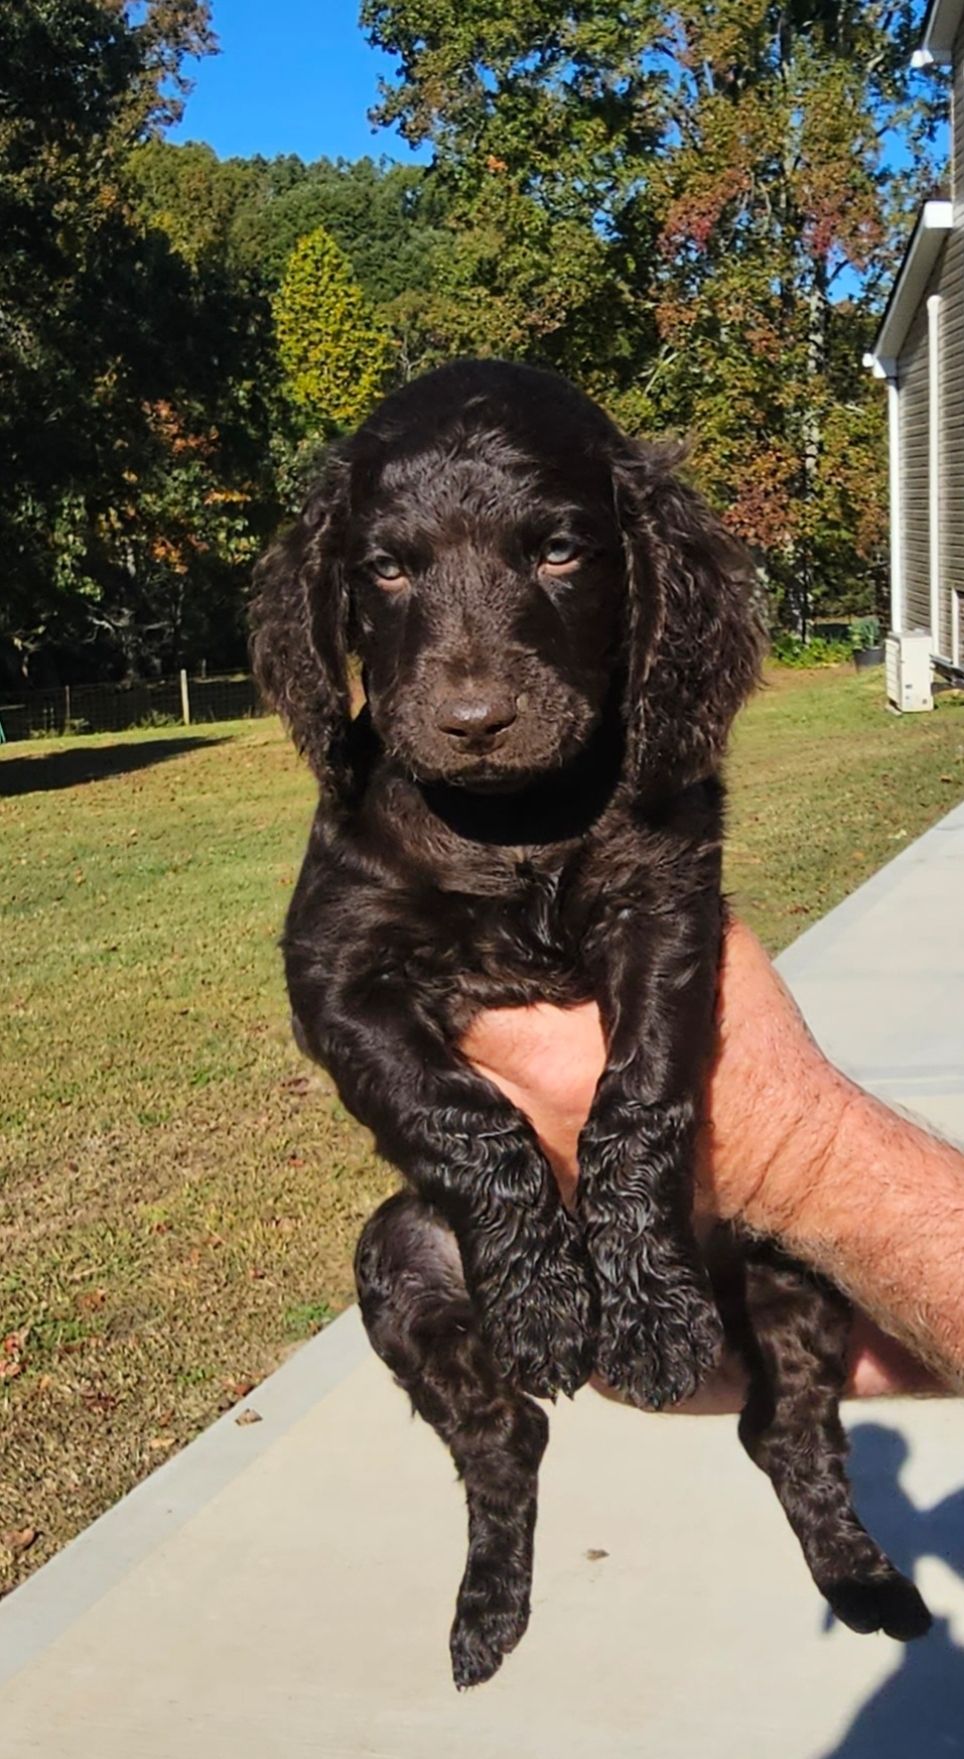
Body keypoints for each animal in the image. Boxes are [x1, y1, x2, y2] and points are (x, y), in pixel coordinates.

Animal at [251, 358, 931, 1687]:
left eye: (560, 550)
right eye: (385, 568)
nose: (471, 719)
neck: (512, 823)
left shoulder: (666, 909)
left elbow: (639, 1098)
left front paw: (649, 1309)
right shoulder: (334, 967)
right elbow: (460, 1117)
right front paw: (544, 1296)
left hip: (792, 1267)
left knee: (786, 1435)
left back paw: (861, 1577)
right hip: (400, 1260)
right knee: (504, 1437)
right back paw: (487, 1608)